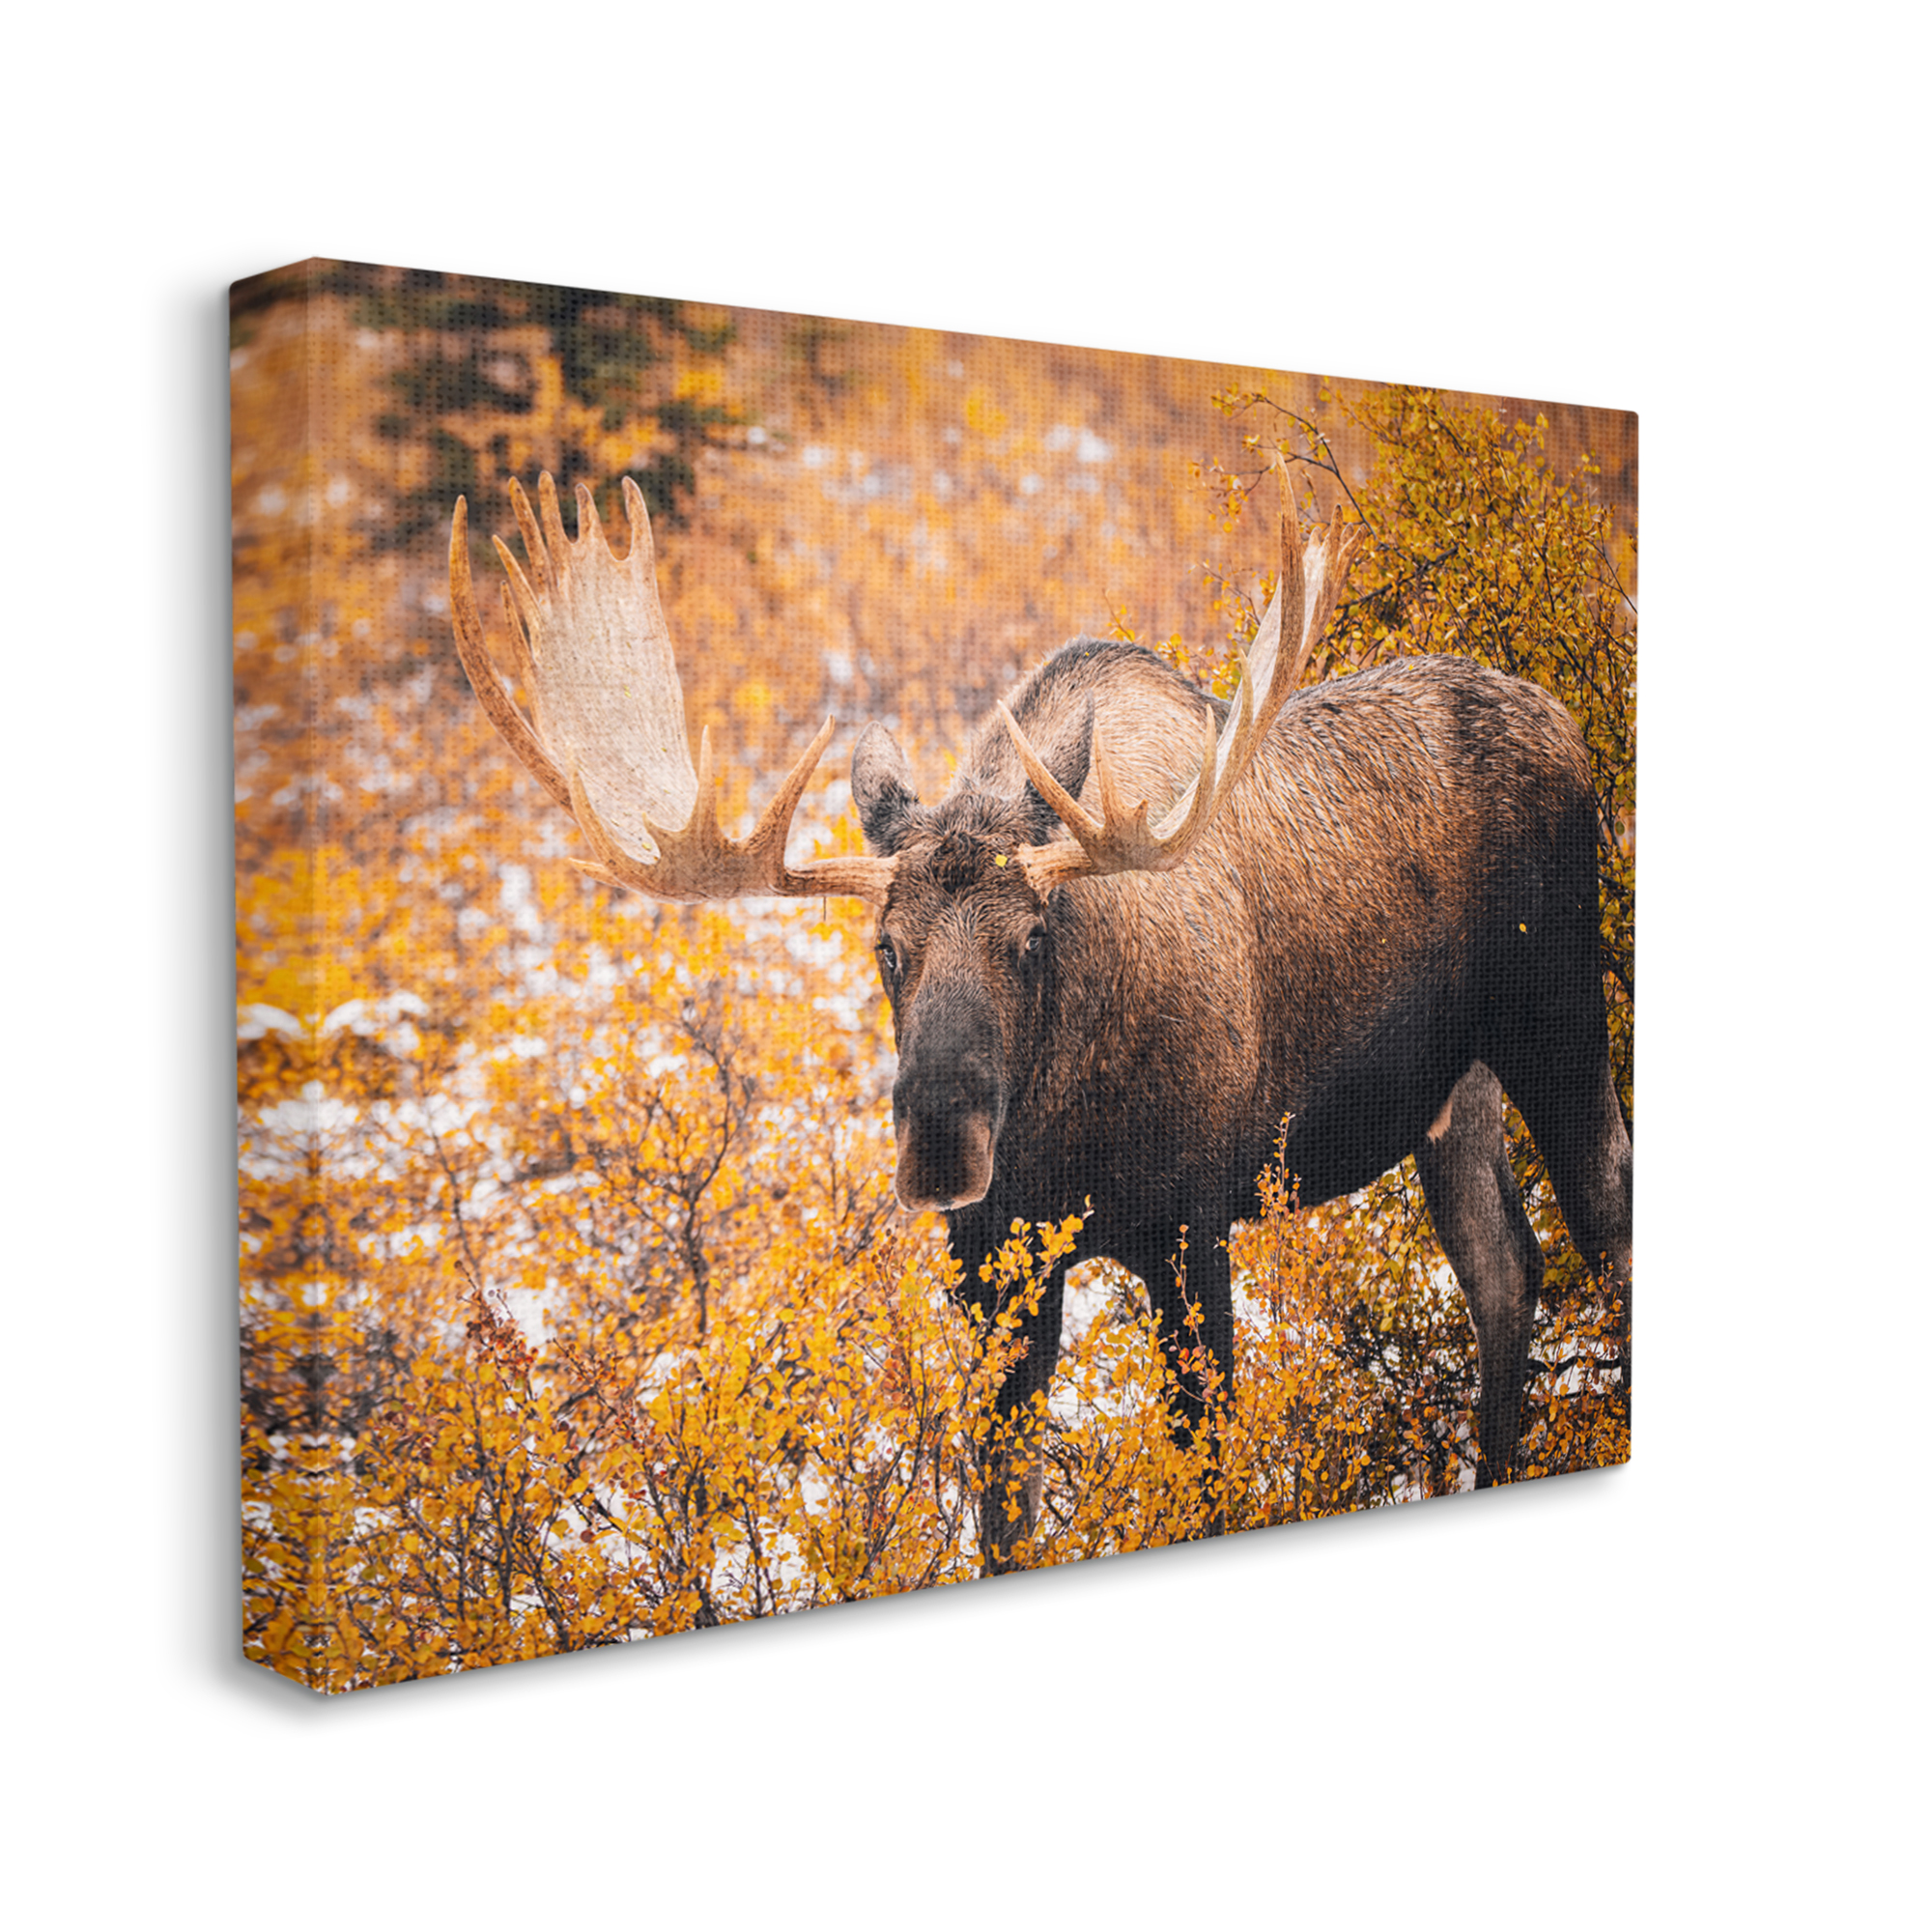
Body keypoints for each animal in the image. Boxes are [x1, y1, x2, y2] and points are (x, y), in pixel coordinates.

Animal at [447, 469, 1632, 1553]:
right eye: (886, 948)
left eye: (1030, 938)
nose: (939, 1140)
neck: (1059, 1139)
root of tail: (1566, 721)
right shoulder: (990, 1268)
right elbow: (1001, 1513)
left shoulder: (1191, 1223)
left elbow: (1206, 1469)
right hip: (1453, 1092)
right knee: (1503, 1267)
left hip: (1563, 1014)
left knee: (1604, 1218)